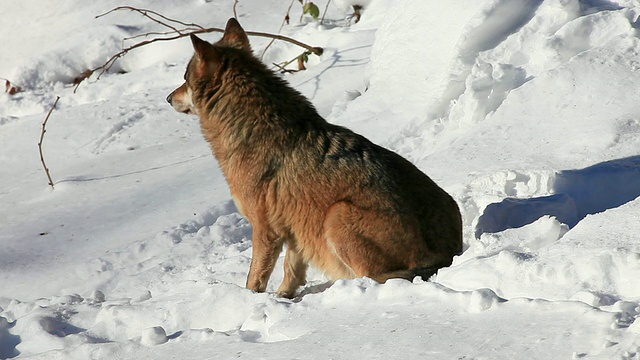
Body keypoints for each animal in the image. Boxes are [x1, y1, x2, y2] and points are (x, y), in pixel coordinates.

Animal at [168, 18, 462, 298]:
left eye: (184, 77)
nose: (168, 98)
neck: (251, 127)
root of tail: (450, 253)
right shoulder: (295, 227)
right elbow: (292, 269)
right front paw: (283, 297)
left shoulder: (266, 230)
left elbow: (255, 278)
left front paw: (249, 299)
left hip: (336, 214)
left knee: (377, 278)